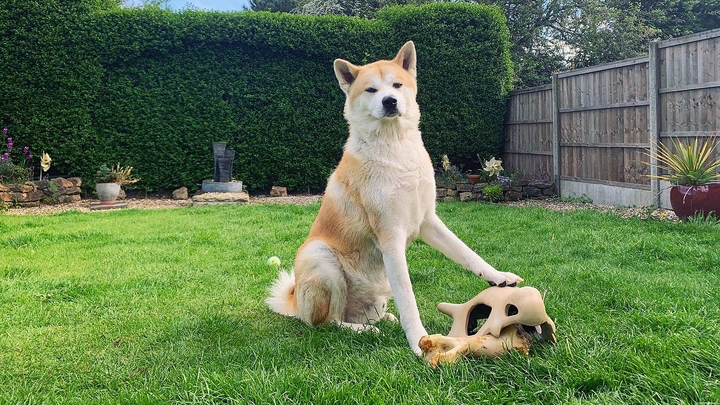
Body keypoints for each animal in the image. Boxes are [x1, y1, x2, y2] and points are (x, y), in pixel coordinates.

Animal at [266, 41, 523, 354]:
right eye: (370, 90)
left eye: (397, 85)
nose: (390, 101)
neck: (396, 147)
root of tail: (294, 303)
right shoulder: (391, 239)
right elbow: (408, 299)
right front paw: (419, 341)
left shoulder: (428, 222)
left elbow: (467, 253)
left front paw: (499, 278)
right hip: (320, 257)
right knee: (327, 323)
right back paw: (363, 330)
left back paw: (383, 319)